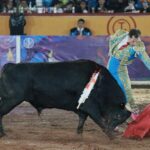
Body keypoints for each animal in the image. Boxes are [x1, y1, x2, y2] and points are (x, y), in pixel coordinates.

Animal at [0, 59, 130, 137]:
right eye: (118, 116)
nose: (113, 129)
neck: (100, 83)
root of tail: (9, 66)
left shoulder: (83, 108)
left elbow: (82, 120)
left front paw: (79, 135)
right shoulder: (90, 106)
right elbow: (99, 120)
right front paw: (112, 137)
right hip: (11, 99)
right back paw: (3, 134)